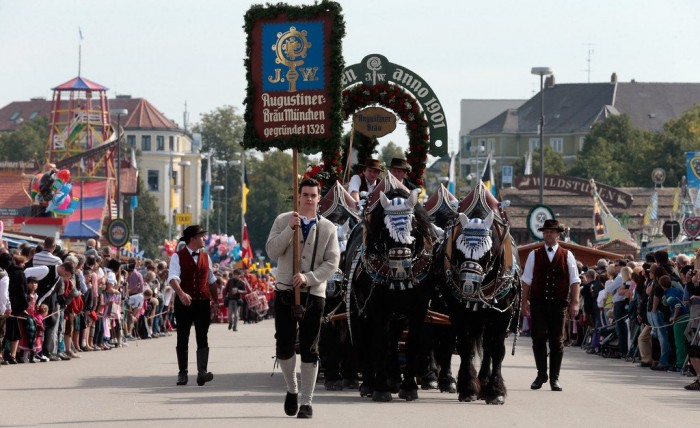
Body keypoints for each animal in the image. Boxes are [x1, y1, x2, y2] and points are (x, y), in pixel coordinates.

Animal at [346, 177, 438, 402]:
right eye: (385, 229)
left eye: (414, 226)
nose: (400, 265)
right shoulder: (377, 309)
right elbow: (379, 344)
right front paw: (380, 389)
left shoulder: (418, 310)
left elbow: (412, 343)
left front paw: (409, 387)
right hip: (357, 309)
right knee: (365, 340)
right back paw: (368, 384)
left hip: (397, 315)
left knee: (394, 339)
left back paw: (395, 379)